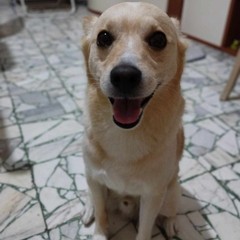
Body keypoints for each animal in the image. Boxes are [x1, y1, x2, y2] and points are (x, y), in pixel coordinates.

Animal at [80, 2, 188, 240]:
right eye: (103, 37)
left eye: (158, 39)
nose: (124, 76)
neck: (125, 133)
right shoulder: (95, 179)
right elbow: (101, 214)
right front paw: (99, 232)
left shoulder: (153, 195)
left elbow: (145, 229)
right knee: (91, 197)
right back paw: (88, 208)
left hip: (170, 194)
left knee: (171, 212)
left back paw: (171, 225)